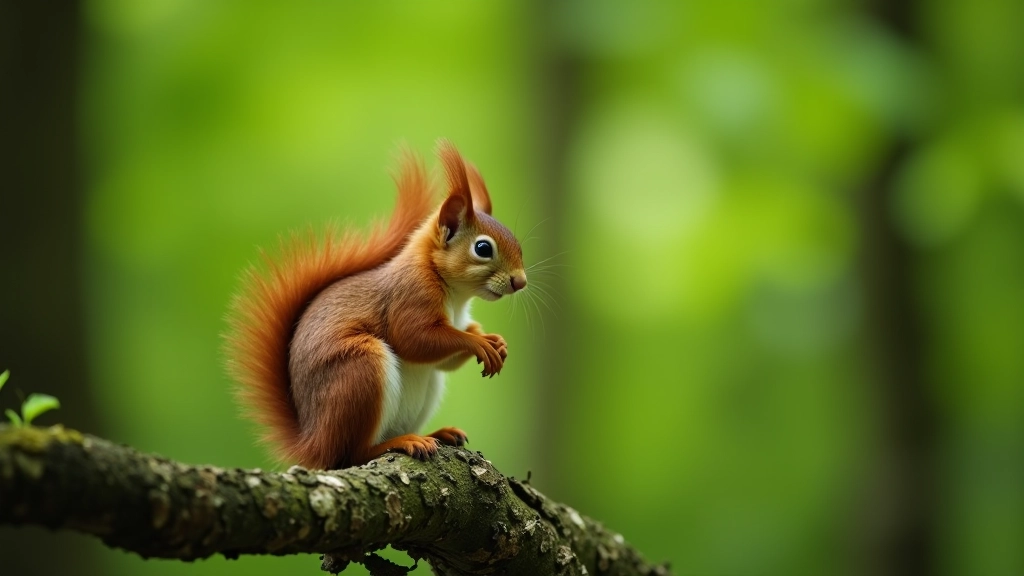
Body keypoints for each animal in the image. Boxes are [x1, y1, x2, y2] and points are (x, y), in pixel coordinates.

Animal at [226, 140, 527, 470]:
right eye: (483, 248)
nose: (521, 281)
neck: (456, 295)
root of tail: (315, 443)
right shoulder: (410, 297)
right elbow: (414, 340)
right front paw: (479, 343)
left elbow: (444, 358)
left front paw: (494, 340)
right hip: (359, 371)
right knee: (353, 453)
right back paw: (401, 442)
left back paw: (436, 433)